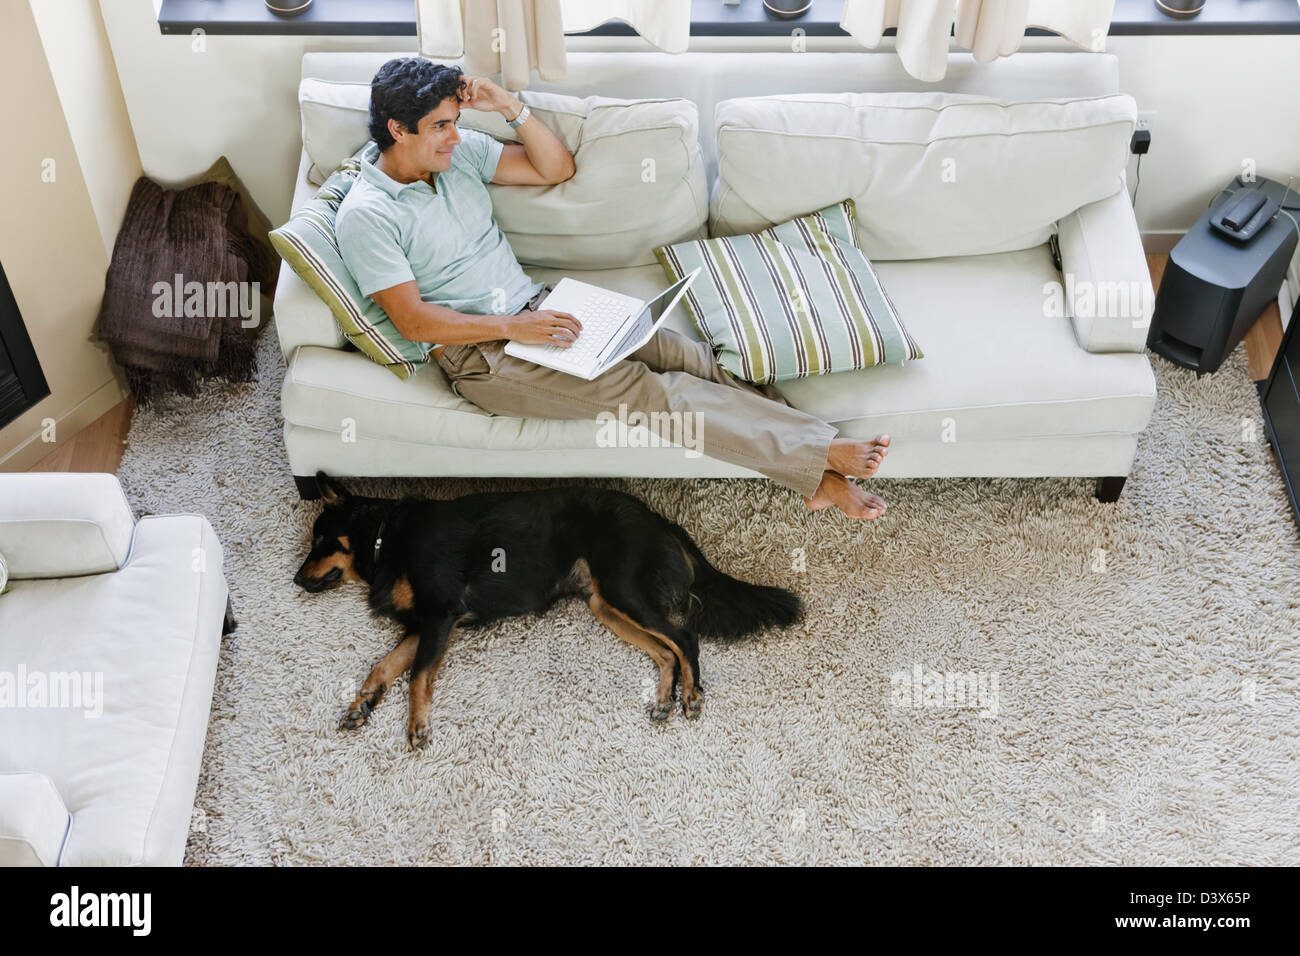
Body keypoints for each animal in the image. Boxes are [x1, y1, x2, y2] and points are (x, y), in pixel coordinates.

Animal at [296, 470, 800, 749]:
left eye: (320, 541)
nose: (296, 581)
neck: (386, 538)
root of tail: (657, 518)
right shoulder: (424, 624)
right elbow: (382, 666)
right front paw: (361, 703)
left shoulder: (439, 616)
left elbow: (417, 675)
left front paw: (417, 726)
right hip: (605, 604)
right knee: (664, 651)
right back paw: (663, 700)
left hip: (622, 591)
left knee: (684, 638)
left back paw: (691, 695)